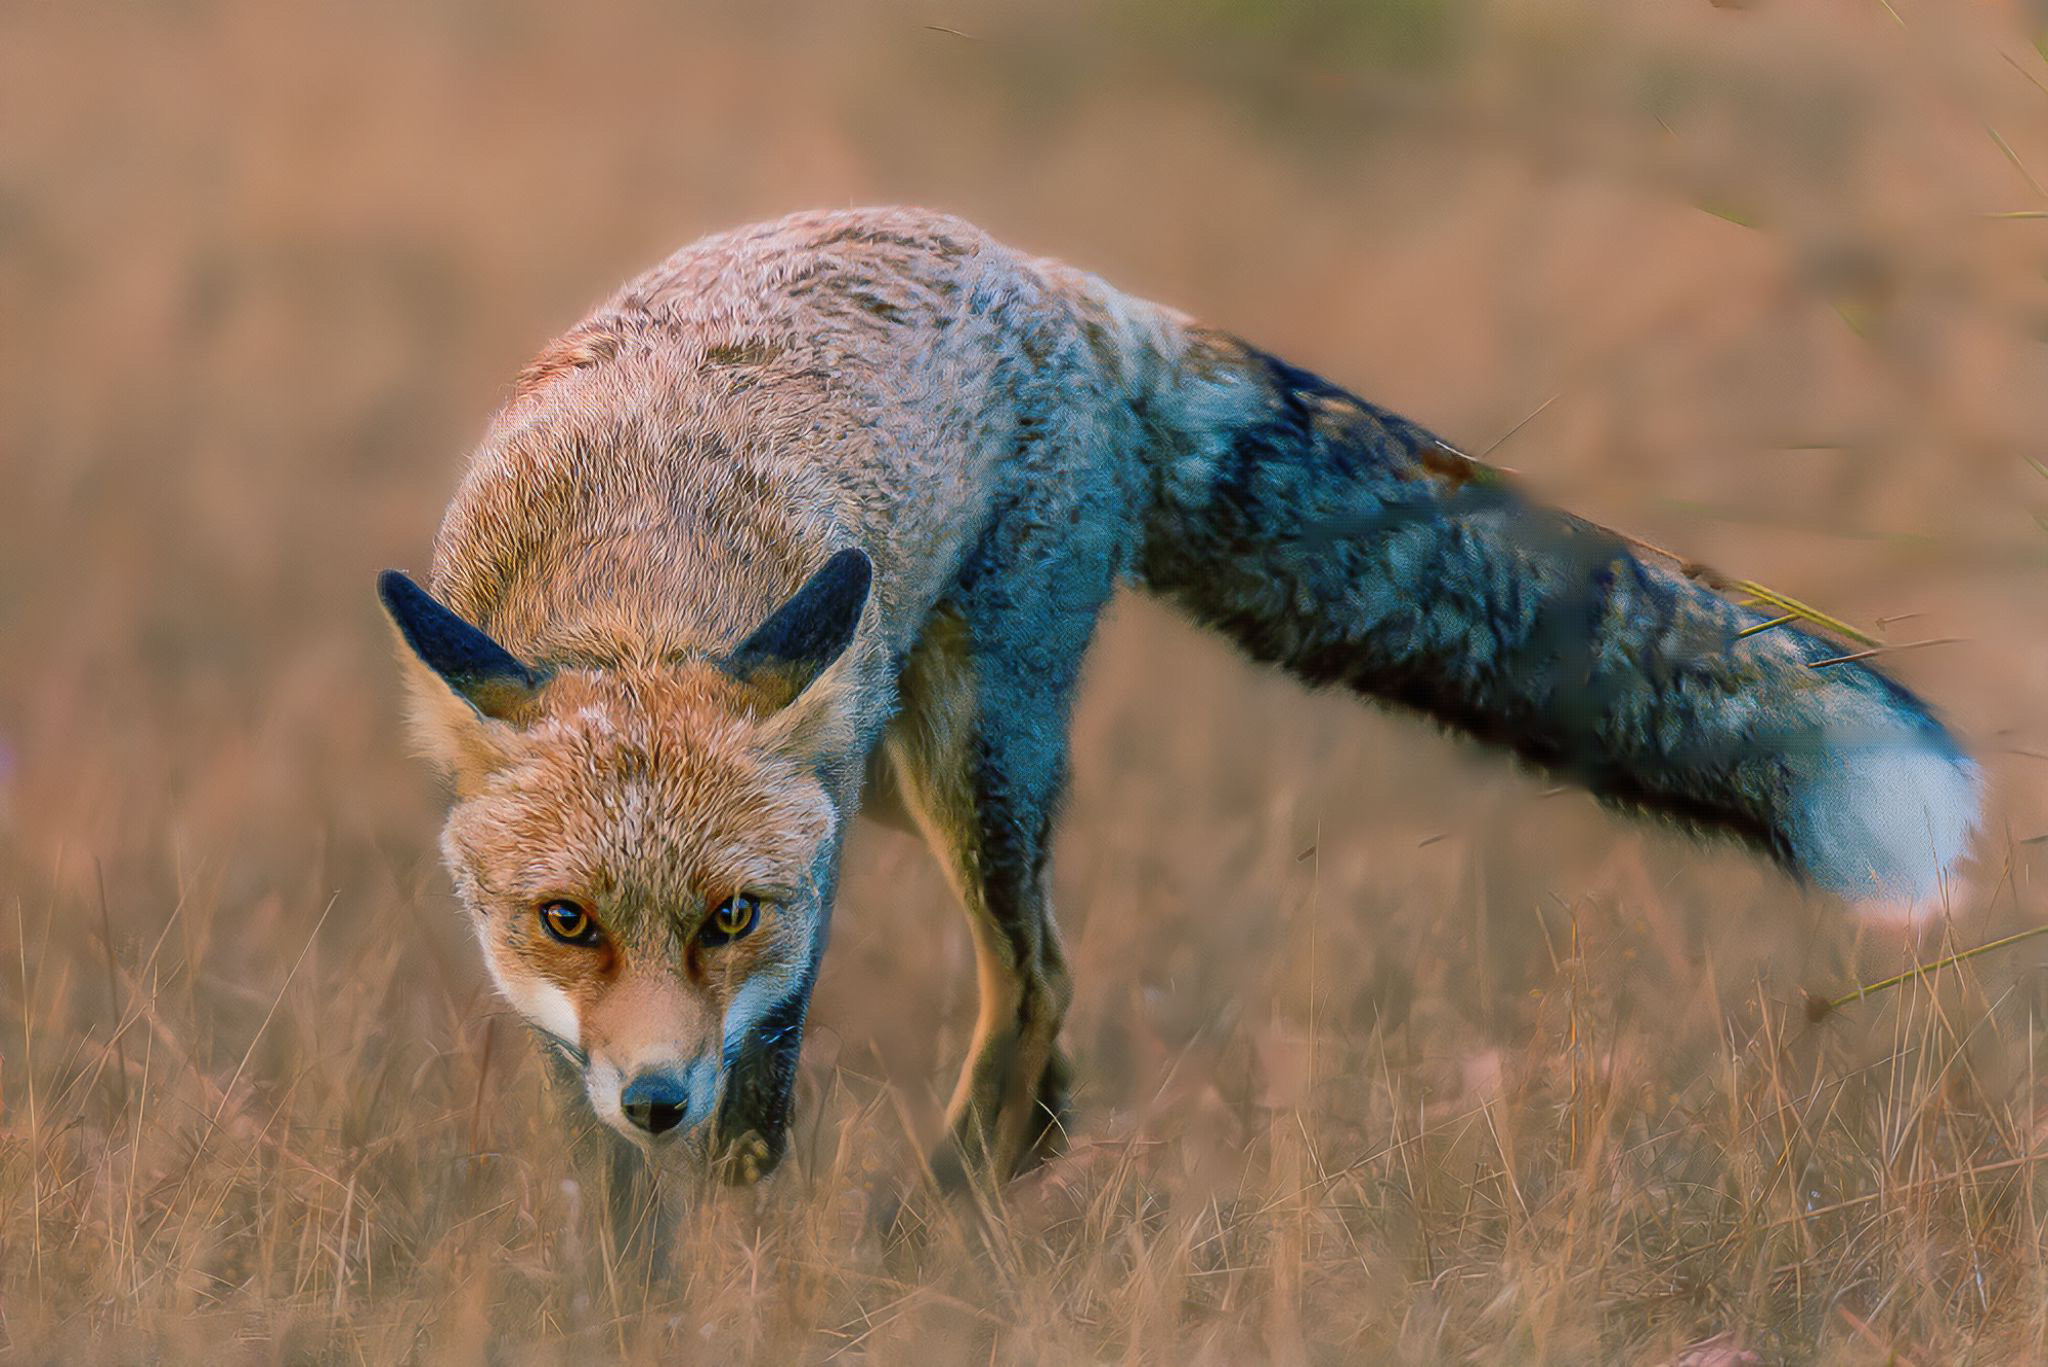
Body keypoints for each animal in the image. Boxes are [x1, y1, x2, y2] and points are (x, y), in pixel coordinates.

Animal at [379, 206, 1980, 1187]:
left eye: (731, 916)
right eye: (566, 919)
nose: (658, 1096)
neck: (642, 567)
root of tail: (1053, 279)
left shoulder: (784, 949)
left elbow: (746, 1146)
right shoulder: (595, 1005)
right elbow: (607, 1171)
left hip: (967, 764)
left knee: (1038, 979)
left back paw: (943, 1219)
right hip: (893, 785)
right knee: (1050, 999)